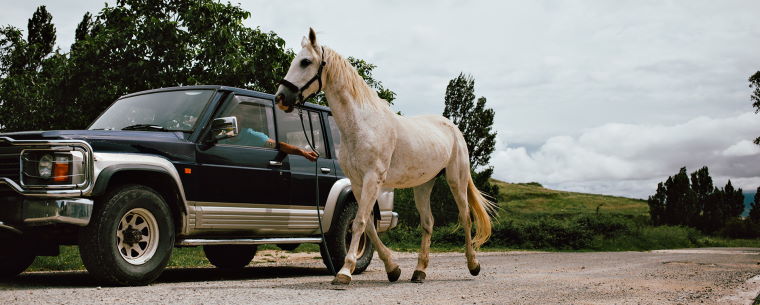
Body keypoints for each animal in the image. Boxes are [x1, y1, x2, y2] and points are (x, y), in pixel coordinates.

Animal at [276, 28, 496, 284]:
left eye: (305, 62)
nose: (281, 98)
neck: (363, 125)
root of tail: (453, 129)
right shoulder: (358, 182)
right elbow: (368, 225)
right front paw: (393, 269)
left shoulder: (373, 178)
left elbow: (360, 222)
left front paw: (344, 272)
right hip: (423, 185)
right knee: (428, 223)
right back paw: (419, 271)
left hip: (456, 180)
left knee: (466, 217)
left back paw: (473, 265)